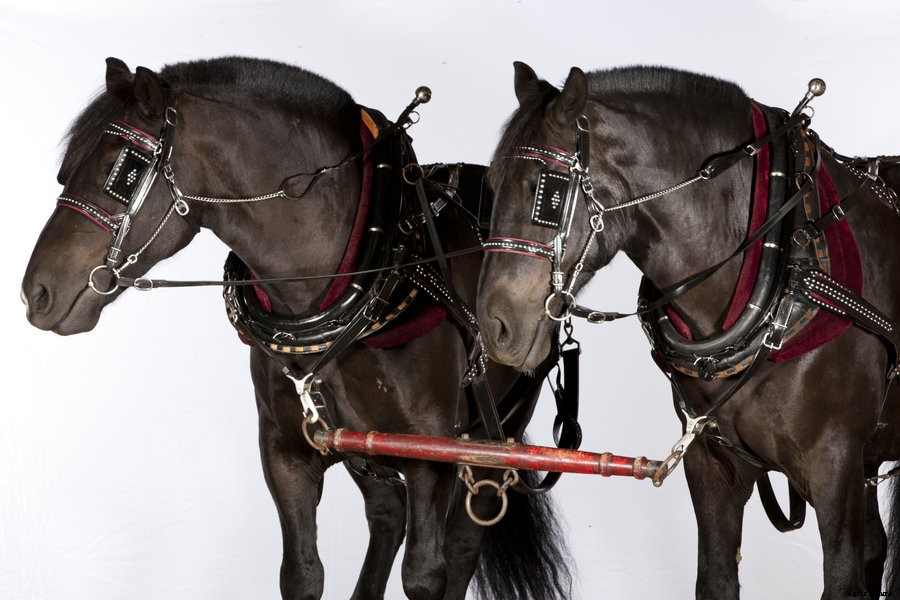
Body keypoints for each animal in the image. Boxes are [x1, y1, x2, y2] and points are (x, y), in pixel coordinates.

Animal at [20, 56, 572, 600]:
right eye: (66, 171)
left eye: (124, 169)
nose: (36, 293)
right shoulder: (287, 453)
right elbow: (302, 573)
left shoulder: (431, 457)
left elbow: (425, 575)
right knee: (386, 516)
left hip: (497, 433)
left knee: (461, 544)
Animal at [476, 61, 900, 599]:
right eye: (491, 183)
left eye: (544, 192)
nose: (494, 325)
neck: (781, 260)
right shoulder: (712, 468)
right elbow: (715, 579)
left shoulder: (836, 467)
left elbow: (843, 579)